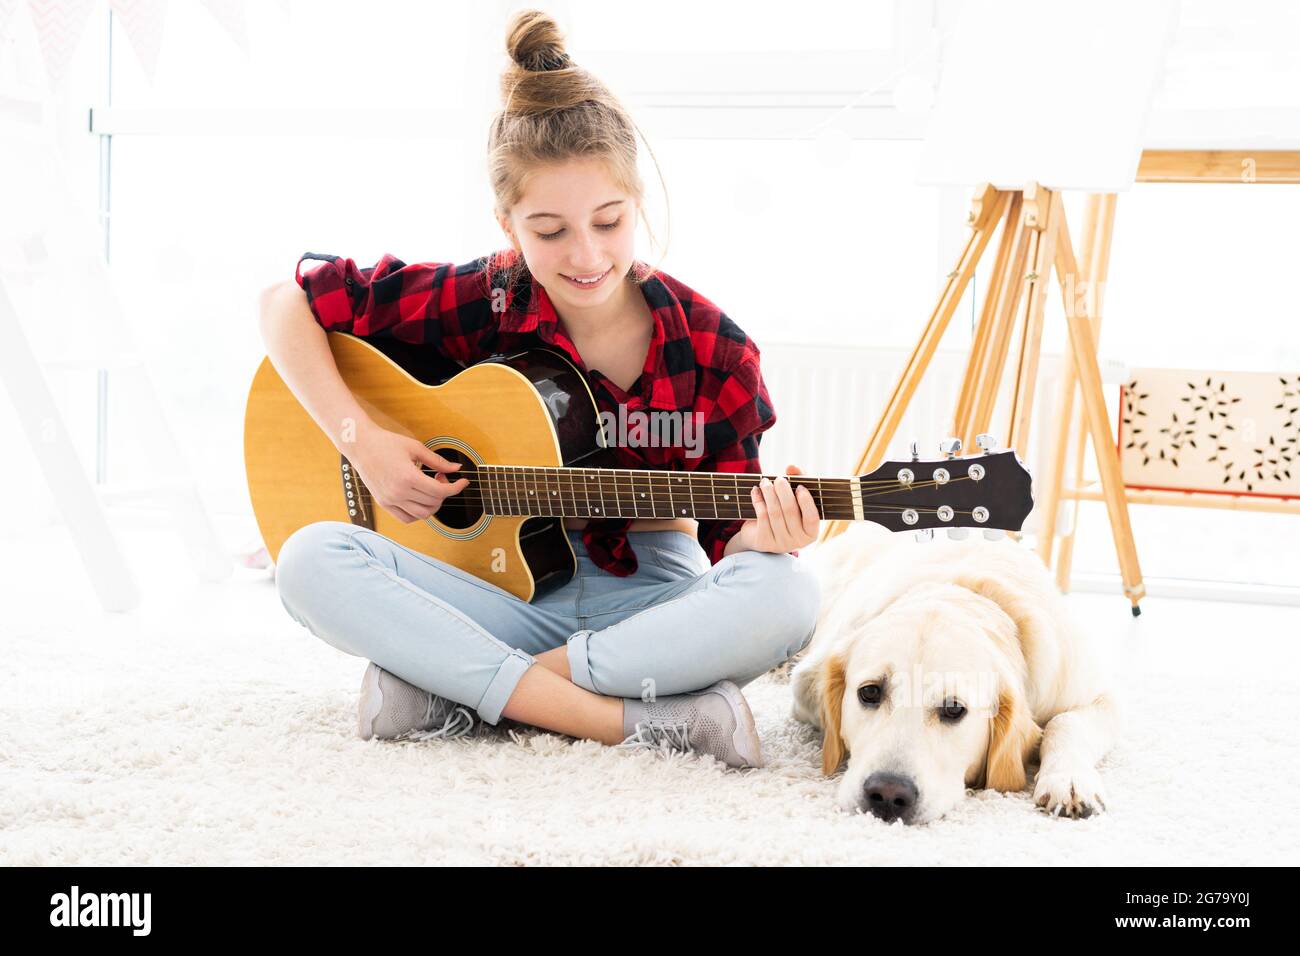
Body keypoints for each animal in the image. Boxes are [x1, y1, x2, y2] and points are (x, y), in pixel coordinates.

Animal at [785, 520, 1123, 827]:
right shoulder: (807, 680)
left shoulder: (1099, 697)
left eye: (953, 709)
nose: (888, 794)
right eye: (869, 692)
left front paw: (1069, 780)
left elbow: (1064, 723)